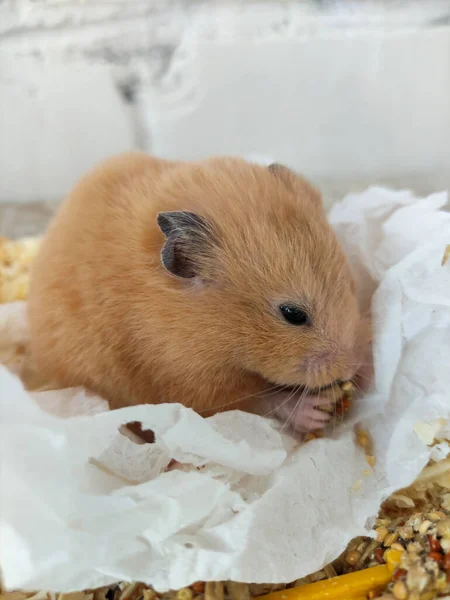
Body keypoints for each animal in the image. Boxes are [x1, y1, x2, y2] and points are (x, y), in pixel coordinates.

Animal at [29, 152, 370, 434]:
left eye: (351, 287)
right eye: (293, 314)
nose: (351, 366)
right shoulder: (190, 384)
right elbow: (257, 401)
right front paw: (313, 410)